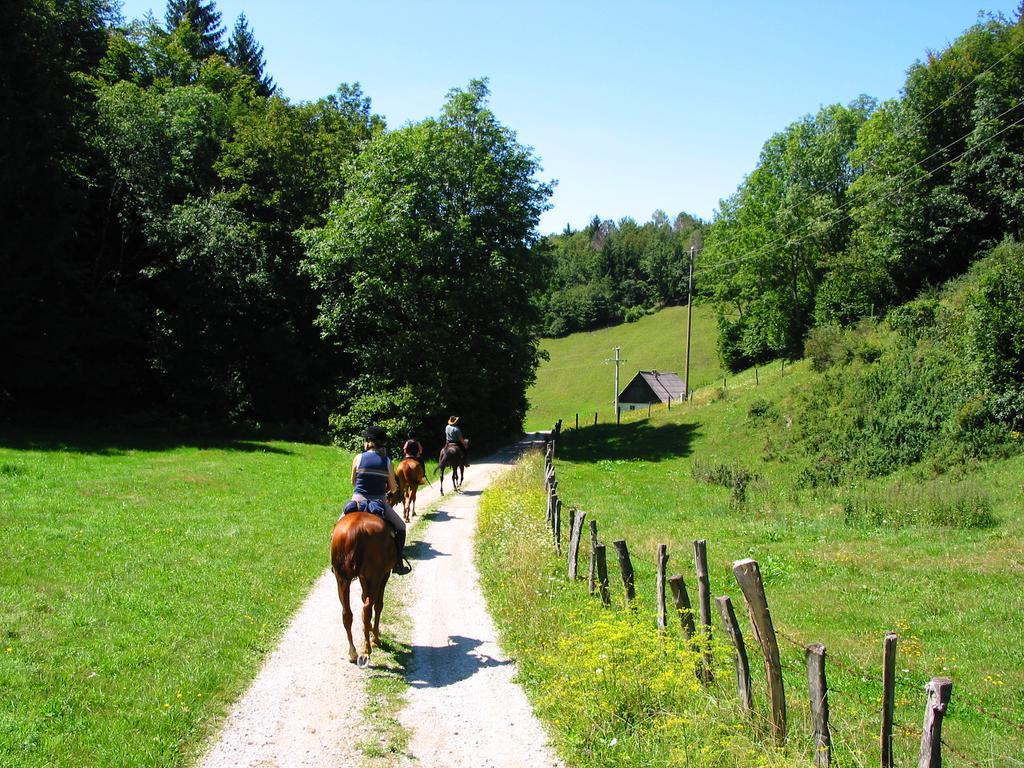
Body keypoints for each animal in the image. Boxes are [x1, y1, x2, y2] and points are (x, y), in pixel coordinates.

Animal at [335, 512, 399, 667]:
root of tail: (355, 529)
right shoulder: (384, 574)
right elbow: (378, 604)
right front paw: (375, 636)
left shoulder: (363, 577)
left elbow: (364, 596)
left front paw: (368, 629)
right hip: (375, 576)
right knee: (367, 609)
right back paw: (368, 648)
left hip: (342, 580)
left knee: (347, 614)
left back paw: (353, 652)